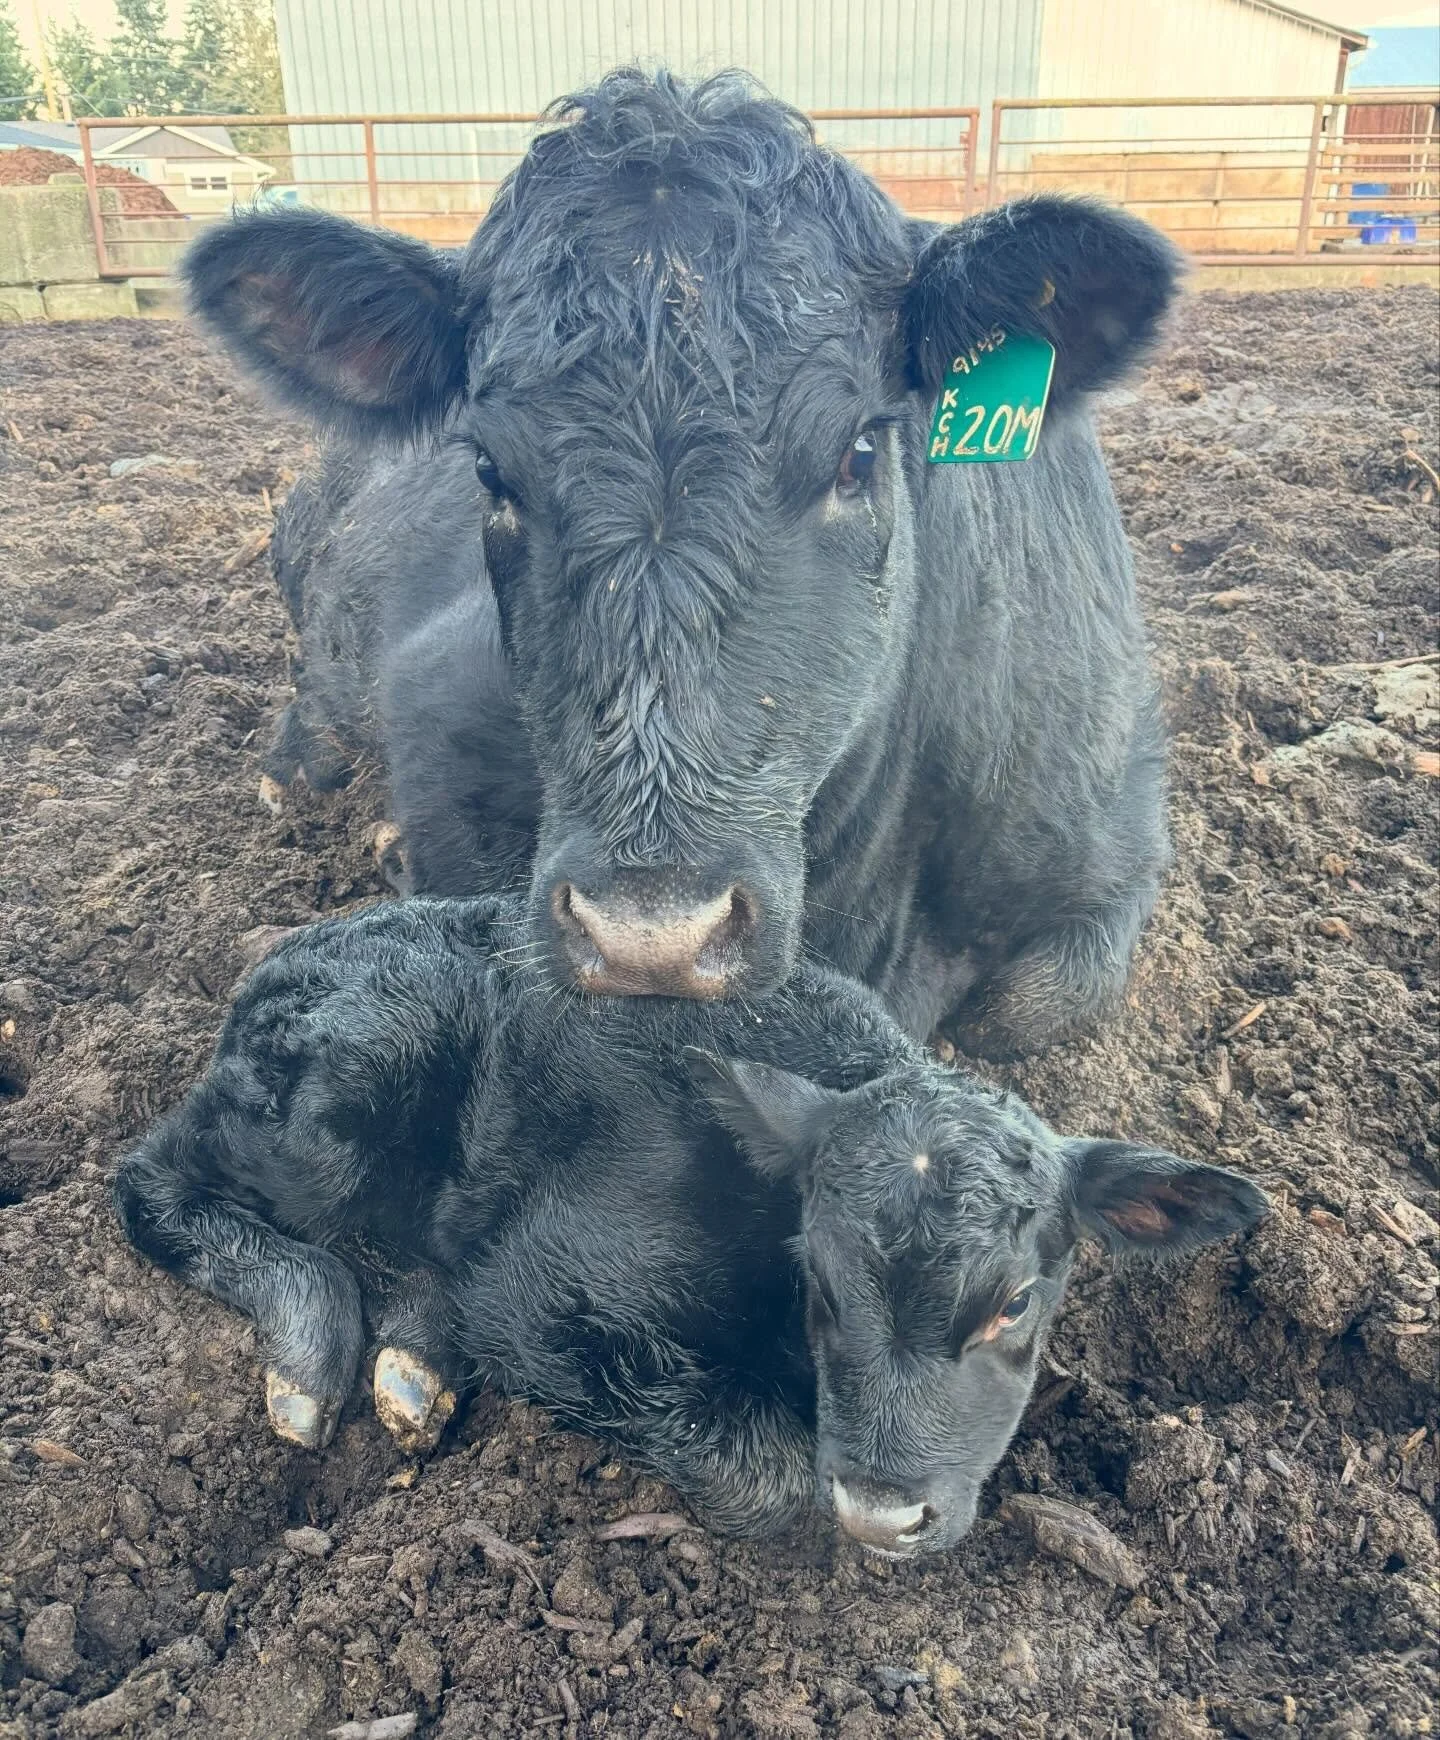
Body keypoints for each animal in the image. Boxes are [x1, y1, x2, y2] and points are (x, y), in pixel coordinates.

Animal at [113, 896, 1266, 1554]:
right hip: (336, 1103)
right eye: (820, 1286)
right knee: (152, 1175)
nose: (882, 1513)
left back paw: (413, 1359)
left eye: (1017, 1301)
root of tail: (294, 945)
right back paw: (310, 1347)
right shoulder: (544, 1295)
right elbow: (769, 1476)